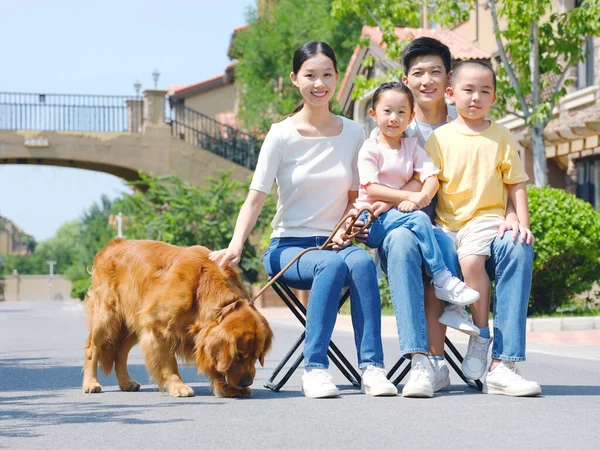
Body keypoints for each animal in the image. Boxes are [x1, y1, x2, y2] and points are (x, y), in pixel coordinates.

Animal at [81, 239, 272, 398]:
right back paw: (91, 383)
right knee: (93, 348)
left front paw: (229, 388)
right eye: (239, 355)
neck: (203, 289)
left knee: (120, 352)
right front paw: (178, 386)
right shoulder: (158, 327)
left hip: (134, 323)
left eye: (256, 356)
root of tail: (112, 245)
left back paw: (126, 382)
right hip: (107, 317)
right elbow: (169, 363)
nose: (247, 381)